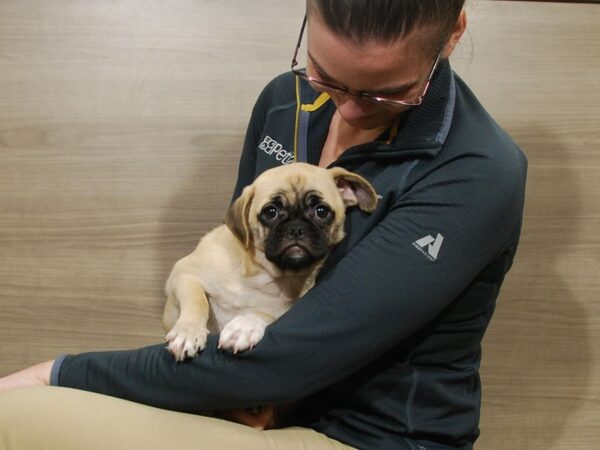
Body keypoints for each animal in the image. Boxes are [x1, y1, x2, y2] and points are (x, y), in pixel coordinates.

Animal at [159, 162, 376, 358]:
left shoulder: (288, 311)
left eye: (321, 211)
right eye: (271, 212)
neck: (264, 274)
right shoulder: (184, 274)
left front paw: (244, 326)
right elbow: (197, 300)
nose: (296, 228)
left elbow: (267, 314)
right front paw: (188, 331)